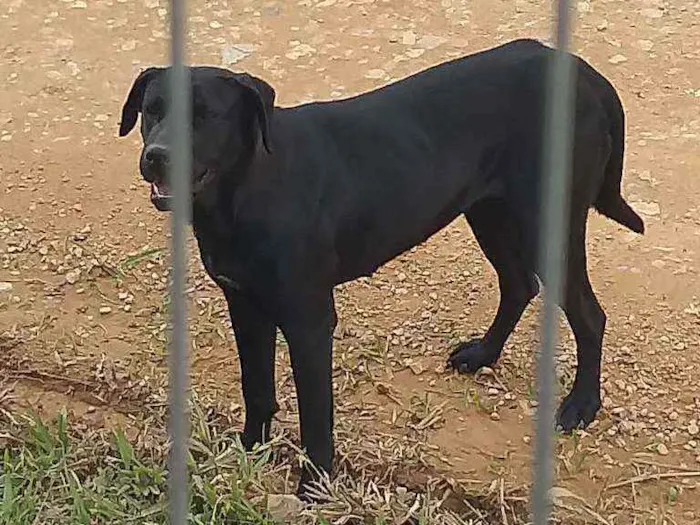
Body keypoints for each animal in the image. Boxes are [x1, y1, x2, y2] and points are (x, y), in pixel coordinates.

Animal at [119, 40, 644, 496]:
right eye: (152, 110)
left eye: (205, 117)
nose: (156, 159)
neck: (247, 188)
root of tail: (586, 74)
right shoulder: (246, 307)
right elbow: (257, 389)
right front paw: (249, 452)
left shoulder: (309, 322)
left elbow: (316, 416)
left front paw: (315, 487)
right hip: (489, 213)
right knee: (518, 285)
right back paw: (483, 354)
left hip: (546, 224)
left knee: (588, 315)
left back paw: (581, 405)